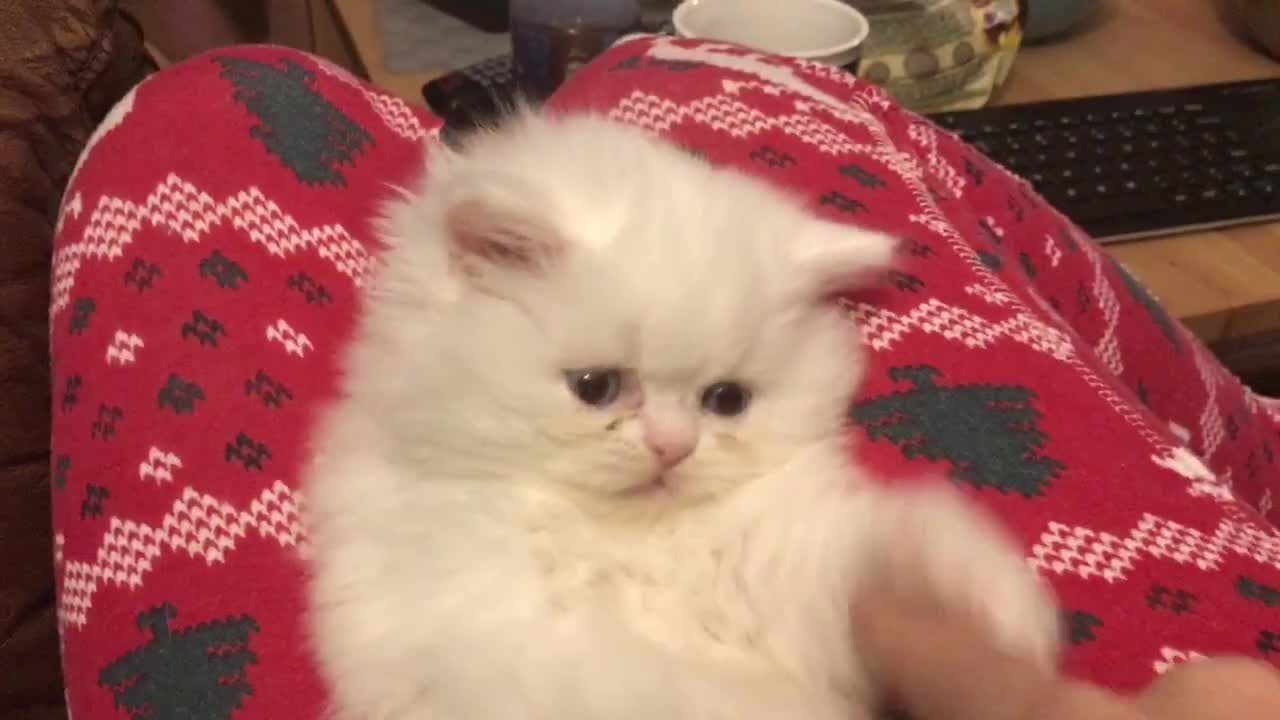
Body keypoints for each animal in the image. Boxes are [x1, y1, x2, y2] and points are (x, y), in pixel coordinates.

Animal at [302, 112, 1059, 717]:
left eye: (726, 400)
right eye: (596, 387)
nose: (672, 447)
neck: (629, 550)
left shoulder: (777, 592)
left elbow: (875, 554)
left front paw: (987, 606)